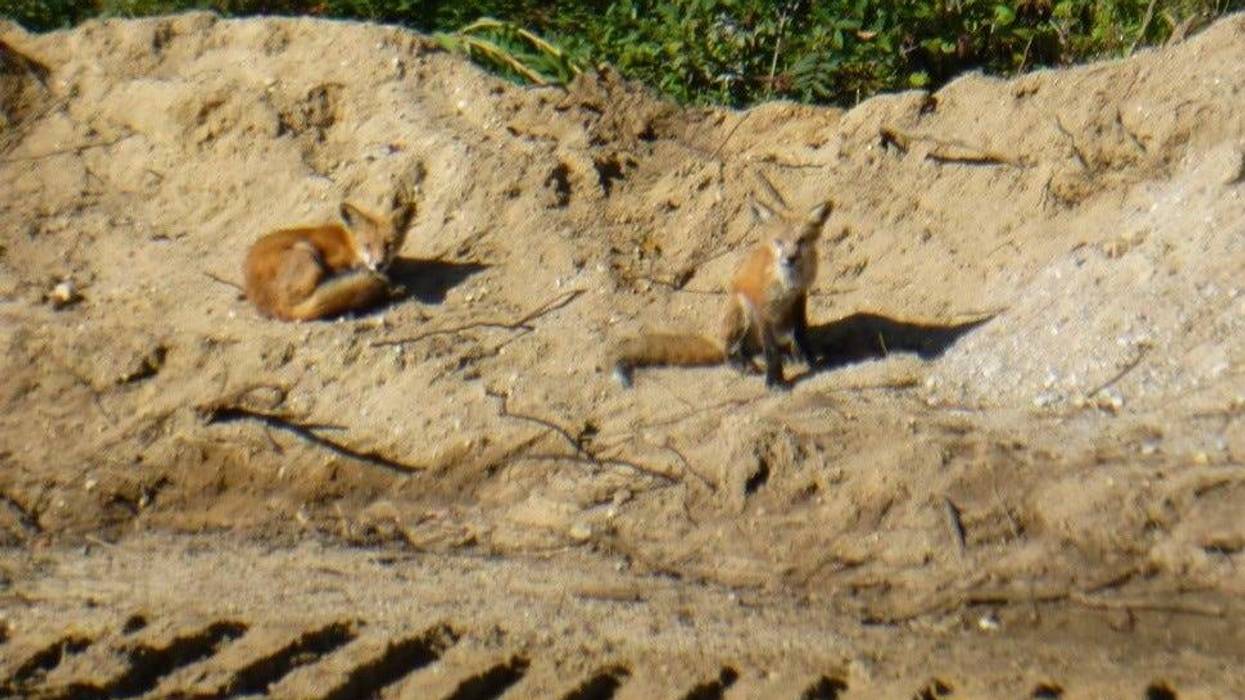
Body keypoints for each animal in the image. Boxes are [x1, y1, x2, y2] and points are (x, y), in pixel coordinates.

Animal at [243, 198, 415, 322]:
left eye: (389, 245)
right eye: (367, 245)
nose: (379, 264)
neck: (350, 245)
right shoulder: (334, 263)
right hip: (307, 252)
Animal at [613, 195, 833, 390]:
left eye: (801, 240)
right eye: (778, 241)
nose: (790, 259)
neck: (787, 281)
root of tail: (717, 338)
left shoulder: (799, 297)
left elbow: (800, 333)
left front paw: (808, 359)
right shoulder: (761, 306)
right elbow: (771, 351)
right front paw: (775, 381)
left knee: (758, 348)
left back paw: (786, 356)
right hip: (741, 311)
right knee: (734, 351)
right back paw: (741, 363)